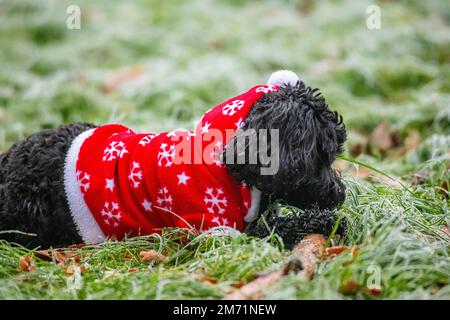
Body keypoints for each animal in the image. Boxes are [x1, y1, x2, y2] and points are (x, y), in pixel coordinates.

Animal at [0, 81, 348, 249]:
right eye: (325, 155)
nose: (341, 194)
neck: (225, 165)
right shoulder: (210, 231)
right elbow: (276, 228)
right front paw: (328, 222)